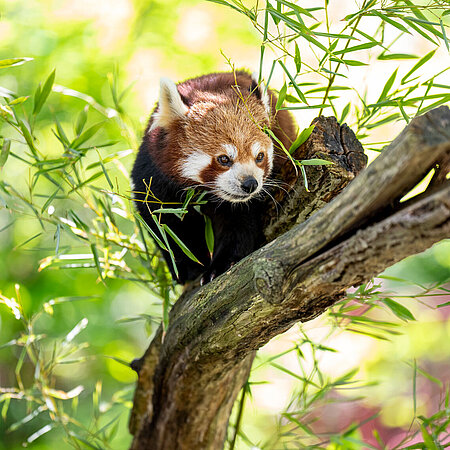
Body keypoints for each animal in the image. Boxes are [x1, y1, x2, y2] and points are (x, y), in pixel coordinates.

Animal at [132, 71, 298, 284]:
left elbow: (239, 226)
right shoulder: (154, 174)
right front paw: (187, 267)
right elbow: (163, 223)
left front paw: (220, 266)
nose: (250, 184)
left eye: (260, 156)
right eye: (224, 159)